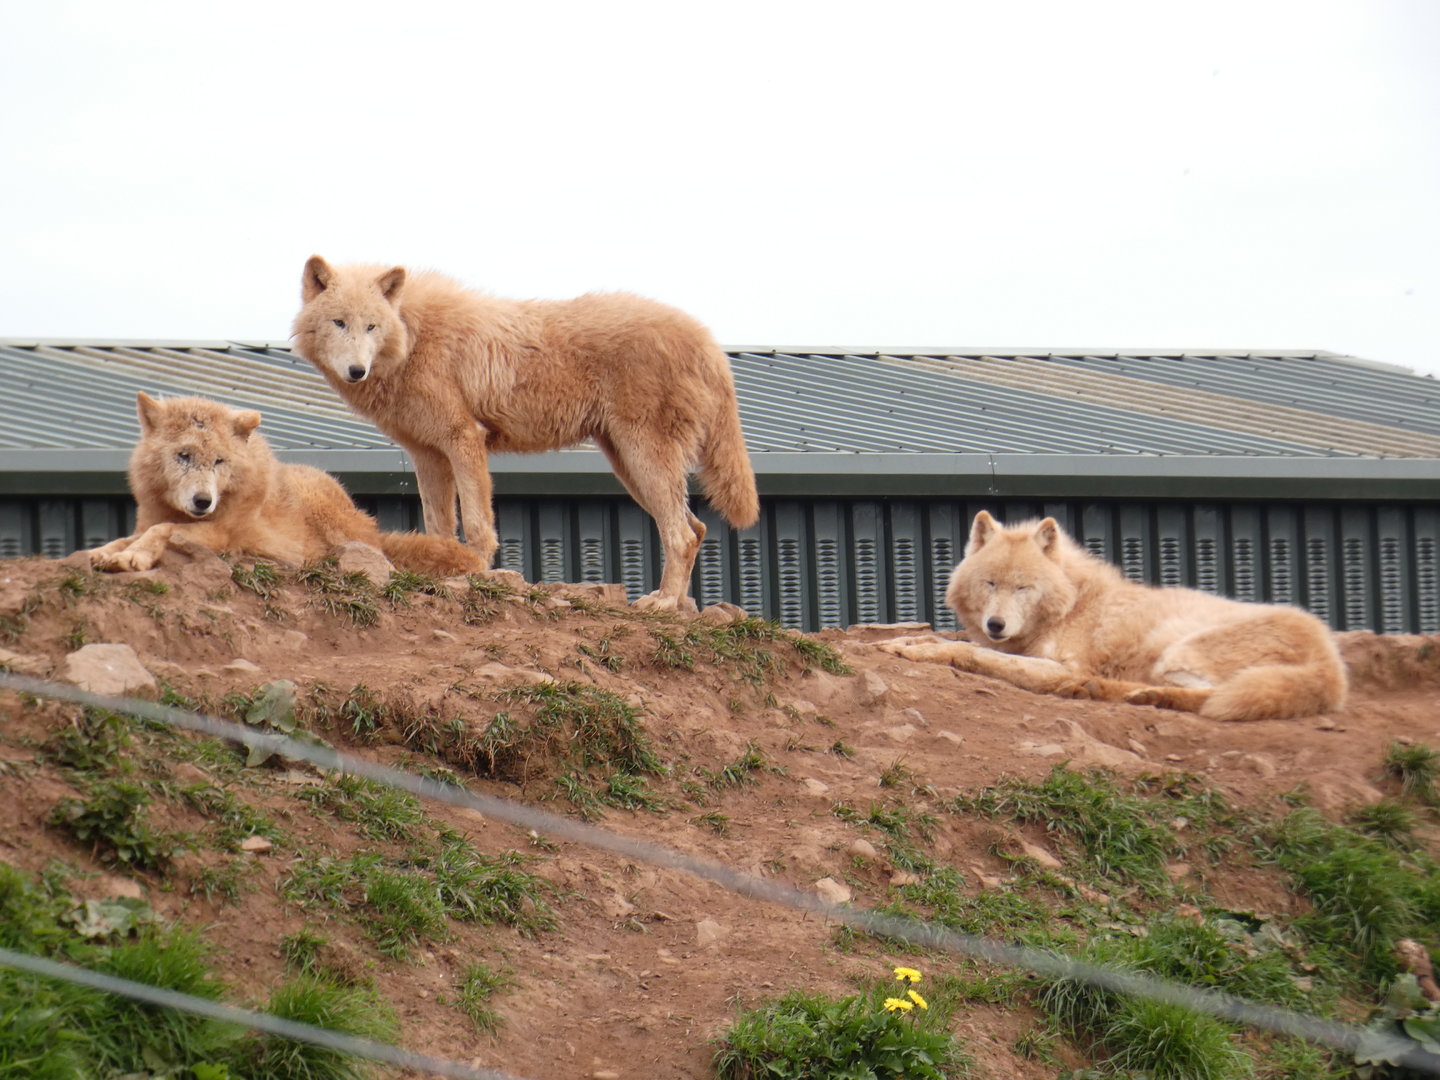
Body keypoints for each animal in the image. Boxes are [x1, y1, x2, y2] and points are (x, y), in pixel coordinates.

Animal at [86, 392, 485, 577]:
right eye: (183, 456)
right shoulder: (151, 520)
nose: (203, 501)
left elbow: (163, 530)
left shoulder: (226, 534)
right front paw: (107, 552)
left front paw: (134, 556)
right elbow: (131, 535)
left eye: (219, 462)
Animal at [290, 256, 759, 611]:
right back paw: (677, 605)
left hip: (642, 459)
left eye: (371, 326)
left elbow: (477, 524)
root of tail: (707, 340)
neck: (413, 336)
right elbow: (438, 524)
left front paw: (476, 572)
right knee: (697, 528)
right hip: (629, 466)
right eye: (339, 323)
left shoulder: (464, 439)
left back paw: (661, 603)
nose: (356, 370)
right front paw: (446, 563)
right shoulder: (427, 455)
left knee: (682, 534)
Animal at [879, 510, 1347, 721]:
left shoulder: (1055, 663)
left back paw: (1111, 691)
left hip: (1179, 649)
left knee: (1206, 695)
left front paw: (920, 650)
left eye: (1023, 587)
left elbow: (978, 655)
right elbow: (949, 641)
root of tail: (1332, 666)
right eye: (991, 583)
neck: (1072, 604)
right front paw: (905, 641)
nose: (996, 625)